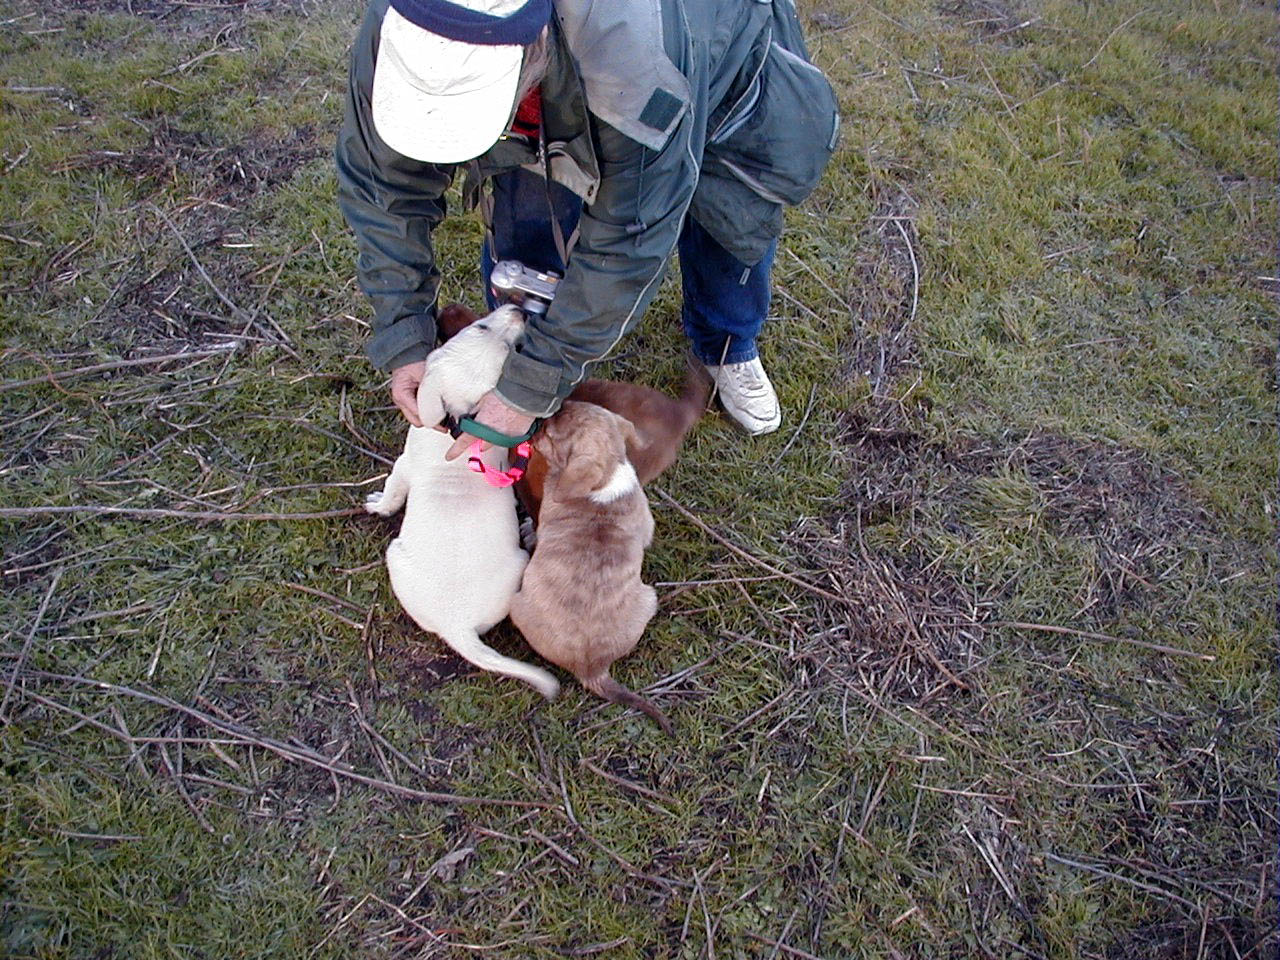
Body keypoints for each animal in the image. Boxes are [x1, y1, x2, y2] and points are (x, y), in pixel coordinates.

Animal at [363, 305, 558, 701]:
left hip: (396, 553)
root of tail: (458, 625)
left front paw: (378, 504)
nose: (520, 311)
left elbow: (392, 491)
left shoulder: (404, 466)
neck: (461, 420)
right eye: (481, 327)